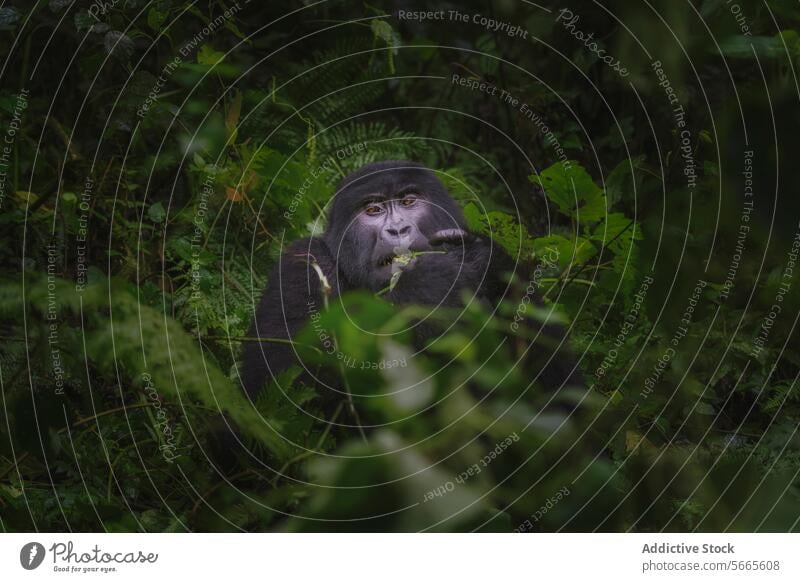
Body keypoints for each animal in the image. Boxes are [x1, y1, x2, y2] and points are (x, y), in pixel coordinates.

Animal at [241, 162, 580, 410]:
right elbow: (277, 385)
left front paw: (478, 259)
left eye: (408, 202)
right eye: (373, 210)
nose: (398, 229)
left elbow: (559, 388)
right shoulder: (301, 266)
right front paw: (428, 283)